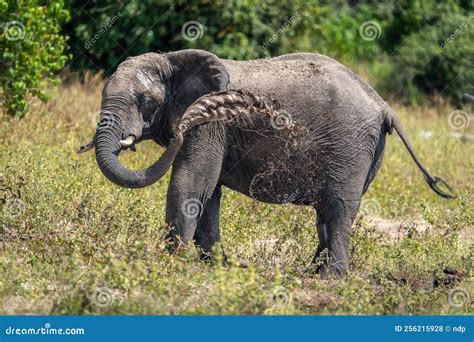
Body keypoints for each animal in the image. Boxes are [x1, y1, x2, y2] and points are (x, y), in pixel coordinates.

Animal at [78, 49, 452, 276]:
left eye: (145, 101)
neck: (174, 59)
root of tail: (384, 104)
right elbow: (207, 194)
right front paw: (213, 265)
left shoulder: (209, 125)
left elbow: (190, 182)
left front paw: (173, 263)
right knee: (328, 212)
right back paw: (311, 273)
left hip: (350, 145)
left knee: (339, 207)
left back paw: (331, 279)